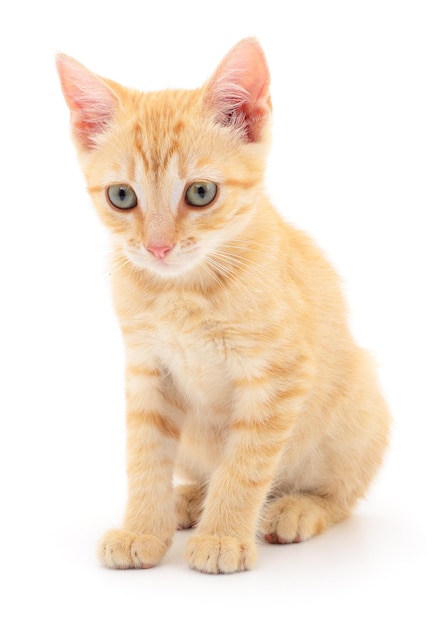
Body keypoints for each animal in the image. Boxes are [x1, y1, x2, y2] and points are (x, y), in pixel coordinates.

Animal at [56, 35, 390, 572]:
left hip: (358, 404)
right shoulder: (146, 371)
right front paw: (141, 529)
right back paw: (189, 499)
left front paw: (223, 536)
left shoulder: (278, 377)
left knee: (341, 494)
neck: (182, 291)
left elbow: (245, 465)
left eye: (201, 192)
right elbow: (145, 457)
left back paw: (296, 508)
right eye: (122, 196)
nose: (158, 248)